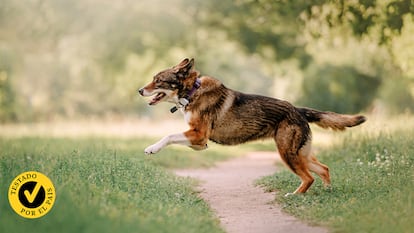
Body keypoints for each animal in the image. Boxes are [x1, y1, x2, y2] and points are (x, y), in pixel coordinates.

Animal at [138, 58, 366, 195]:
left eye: (158, 80)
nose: (140, 90)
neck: (192, 92)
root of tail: (299, 110)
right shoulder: (199, 141)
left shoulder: (199, 135)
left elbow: (168, 136)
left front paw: (152, 148)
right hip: (301, 154)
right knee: (324, 169)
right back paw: (327, 191)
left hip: (287, 153)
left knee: (309, 178)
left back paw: (294, 196)